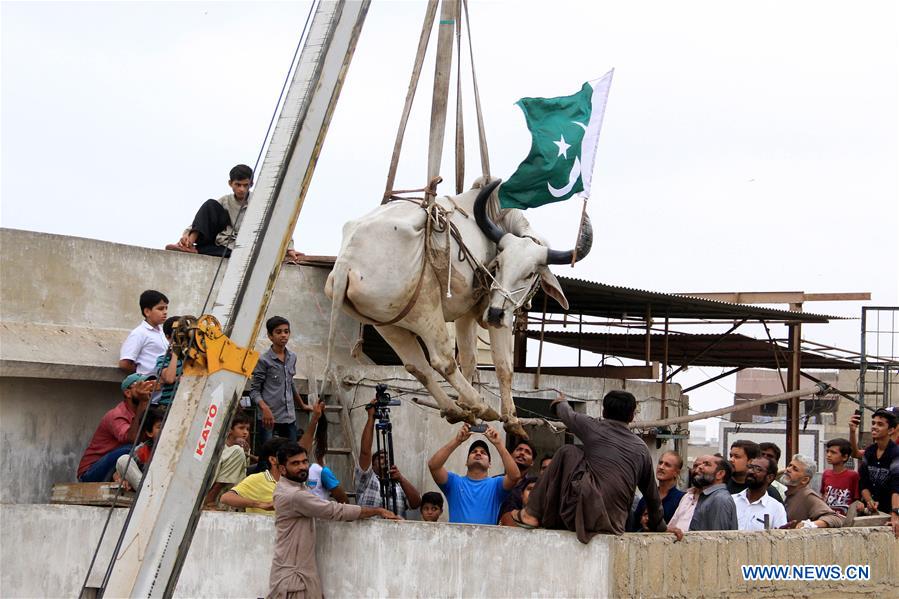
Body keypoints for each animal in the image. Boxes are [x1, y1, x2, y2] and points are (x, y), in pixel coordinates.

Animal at [326, 177, 596, 436]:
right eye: (498, 264)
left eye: (530, 273)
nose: (495, 313)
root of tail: (346, 265)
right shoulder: (493, 314)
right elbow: (503, 365)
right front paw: (511, 419)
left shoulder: (466, 314)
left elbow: (468, 357)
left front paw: (466, 405)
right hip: (427, 310)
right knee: (442, 361)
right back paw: (481, 406)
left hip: (388, 326)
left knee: (418, 366)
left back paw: (457, 409)